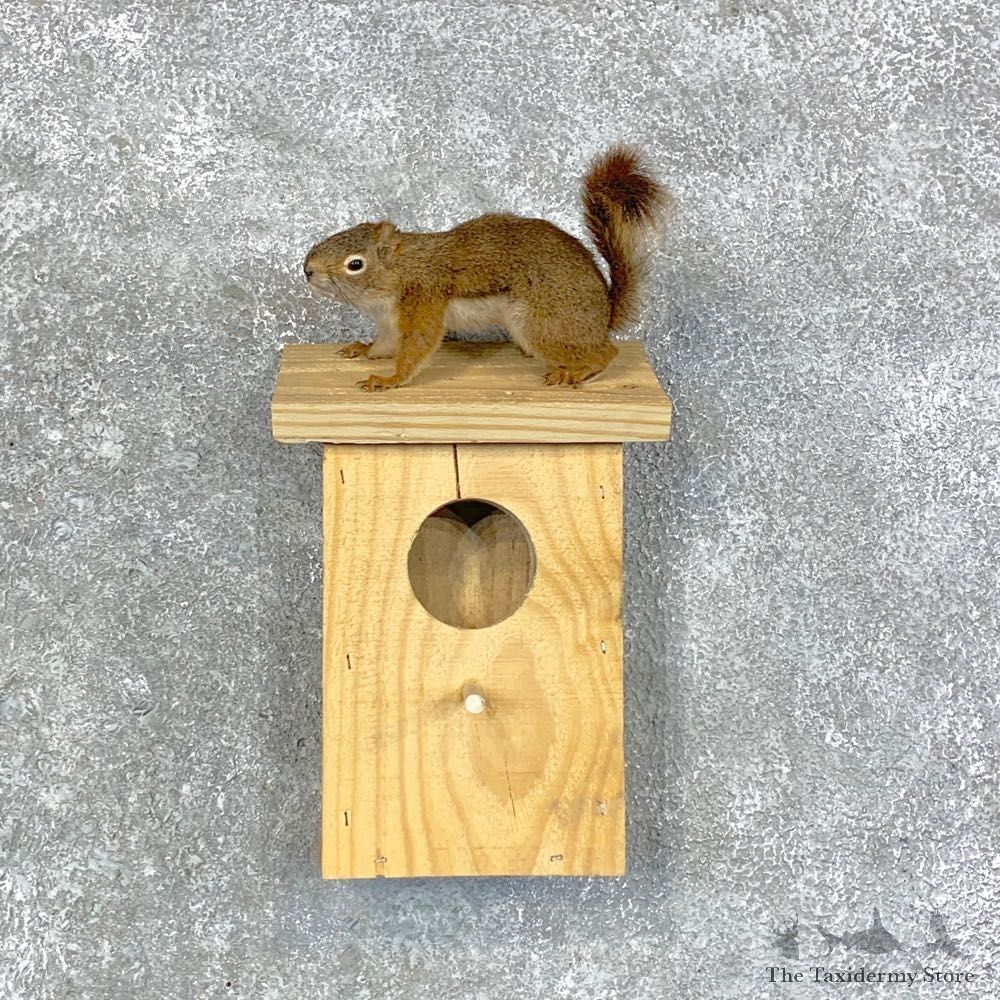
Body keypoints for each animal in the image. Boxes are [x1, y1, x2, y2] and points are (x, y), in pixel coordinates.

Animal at [303, 145, 670, 391]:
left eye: (355, 264)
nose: (307, 269)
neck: (398, 272)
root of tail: (603, 315)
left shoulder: (424, 298)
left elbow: (418, 346)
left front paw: (389, 379)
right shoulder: (390, 323)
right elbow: (384, 345)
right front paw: (362, 349)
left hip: (544, 325)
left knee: (607, 352)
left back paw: (575, 371)